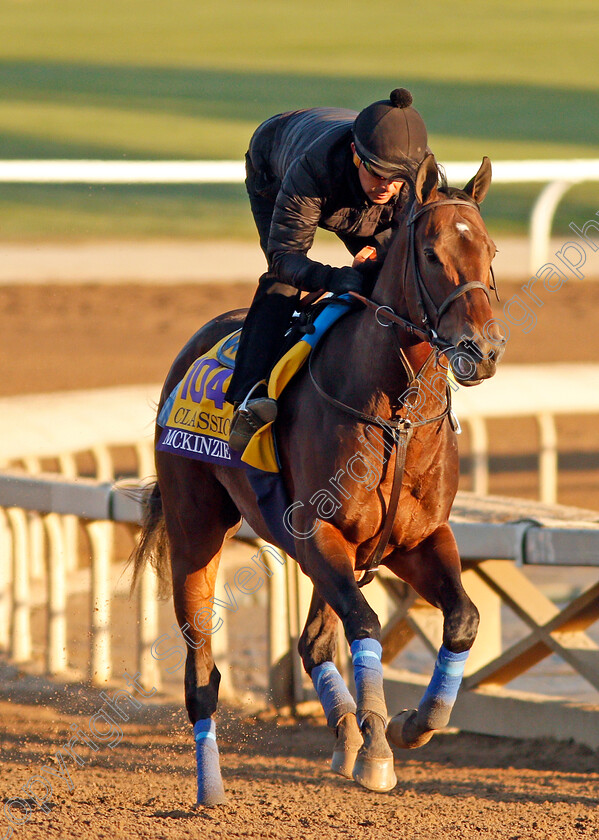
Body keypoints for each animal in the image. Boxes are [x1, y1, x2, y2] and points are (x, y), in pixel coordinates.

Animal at [131, 154, 506, 804]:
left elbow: (462, 619)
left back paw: (346, 735)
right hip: (194, 527)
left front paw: (411, 724)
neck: (394, 415)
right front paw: (379, 745)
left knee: (312, 643)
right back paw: (211, 786)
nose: (481, 349)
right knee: (201, 671)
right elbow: (366, 623)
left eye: (490, 251)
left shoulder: (417, 540)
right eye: (431, 254)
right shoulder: (319, 533)